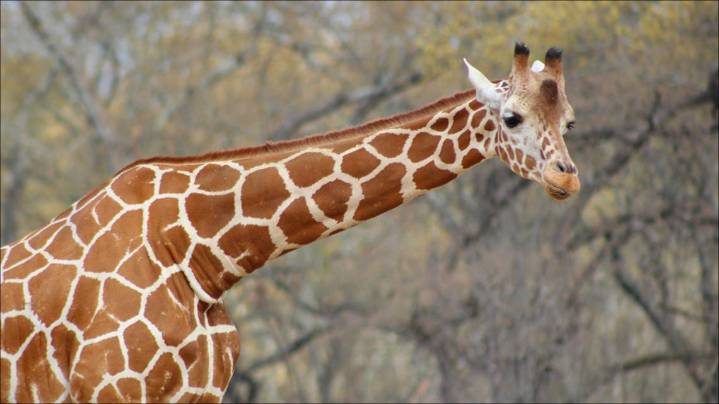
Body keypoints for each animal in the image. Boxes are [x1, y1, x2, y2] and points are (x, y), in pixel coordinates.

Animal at [0, 43, 579, 403]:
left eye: (570, 120)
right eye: (511, 118)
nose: (567, 178)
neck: (198, 252)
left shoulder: (200, 392)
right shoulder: (110, 388)